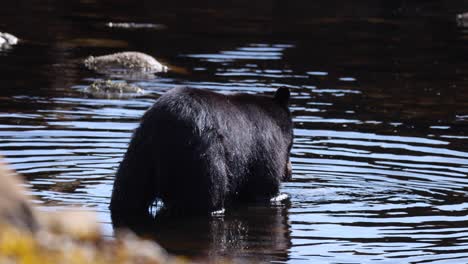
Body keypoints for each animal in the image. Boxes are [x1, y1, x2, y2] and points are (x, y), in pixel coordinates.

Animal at [109, 87, 292, 216]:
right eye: (290, 145)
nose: (289, 173)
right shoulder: (265, 145)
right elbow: (264, 184)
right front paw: (280, 195)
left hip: (140, 152)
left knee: (127, 191)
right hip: (202, 156)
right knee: (209, 192)